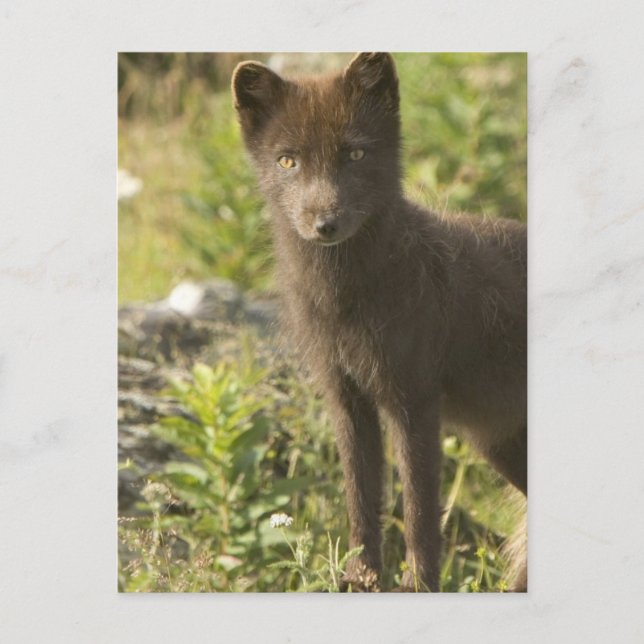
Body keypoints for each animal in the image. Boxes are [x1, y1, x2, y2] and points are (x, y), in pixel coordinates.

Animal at [232, 53, 527, 592]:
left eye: (355, 154)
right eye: (288, 161)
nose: (325, 223)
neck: (346, 302)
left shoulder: (414, 400)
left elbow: (418, 510)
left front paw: (420, 585)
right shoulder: (346, 397)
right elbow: (361, 497)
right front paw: (361, 577)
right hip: (499, 443)